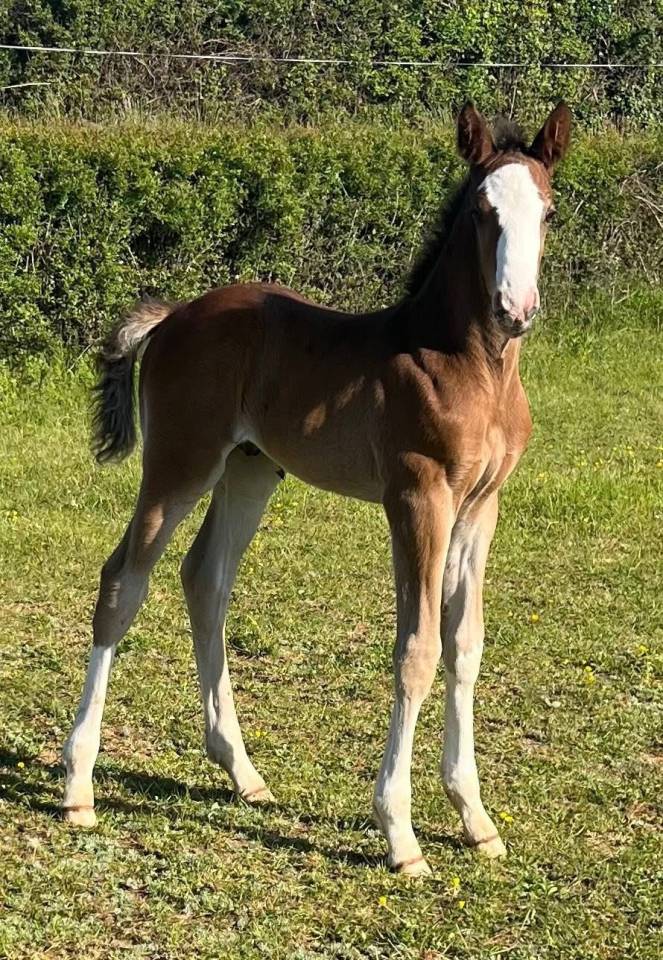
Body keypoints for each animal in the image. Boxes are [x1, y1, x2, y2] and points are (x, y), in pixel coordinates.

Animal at [62, 102, 571, 875]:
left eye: (547, 211)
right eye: (483, 211)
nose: (517, 308)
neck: (469, 366)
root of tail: (175, 314)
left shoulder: (480, 507)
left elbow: (466, 646)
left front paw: (475, 819)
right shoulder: (417, 497)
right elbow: (417, 650)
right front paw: (400, 833)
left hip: (248, 469)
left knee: (205, 579)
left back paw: (241, 771)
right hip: (181, 462)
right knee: (124, 580)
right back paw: (78, 787)